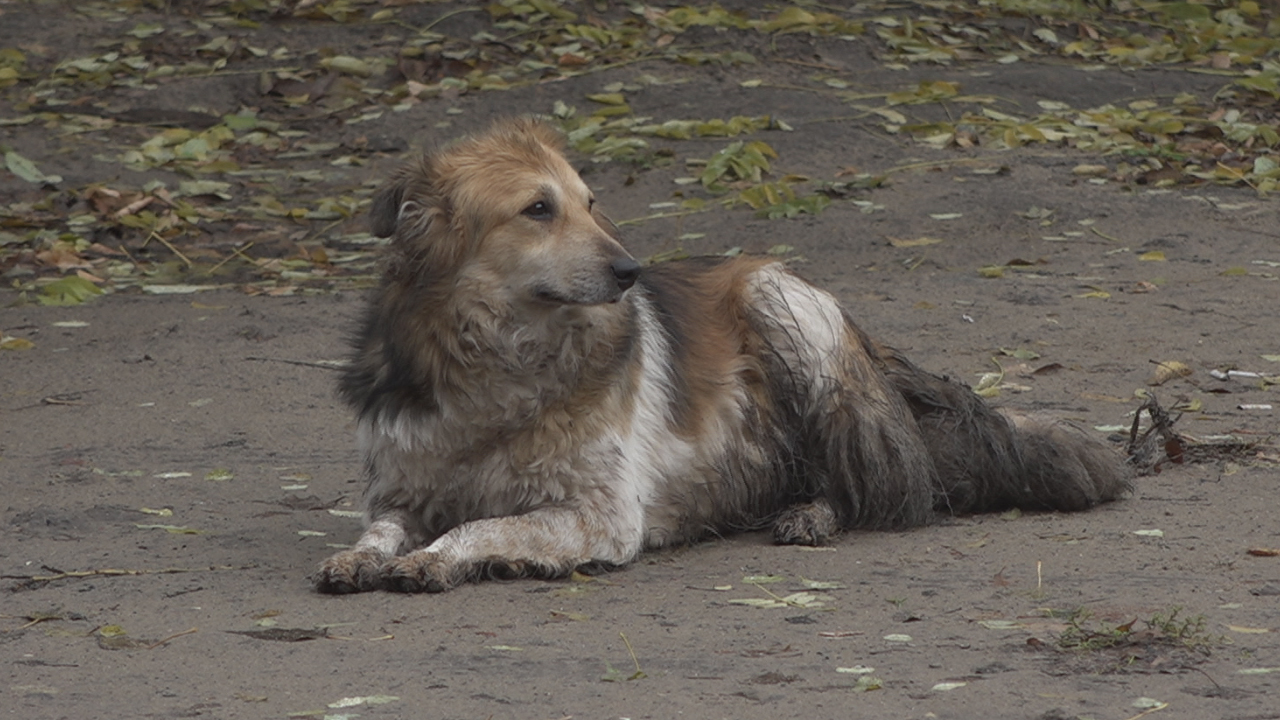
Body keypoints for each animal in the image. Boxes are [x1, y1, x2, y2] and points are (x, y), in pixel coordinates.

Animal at [312, 114, 1131, 591]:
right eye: (537, 209)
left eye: (590, 203)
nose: (630, 271)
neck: (500, 360)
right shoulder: (400, 489)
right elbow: (382, 527)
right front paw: (365, 555)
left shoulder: (602, 514)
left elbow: (482, 525)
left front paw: (436, 558)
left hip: (785, 306)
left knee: (888, 486)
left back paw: (814, 515)